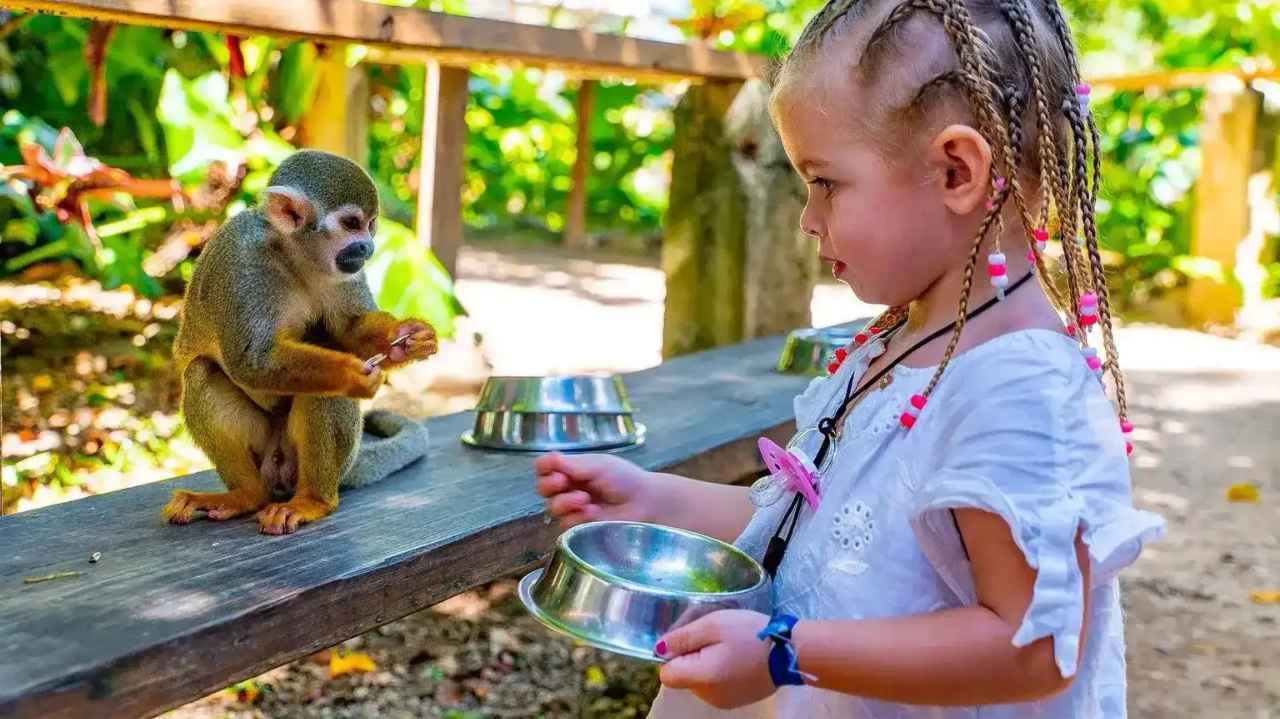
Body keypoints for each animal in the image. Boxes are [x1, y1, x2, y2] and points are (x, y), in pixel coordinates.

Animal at [162, 149, 438, 535]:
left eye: (371, 224)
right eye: (352, 223)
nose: (368, 247)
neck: (292, 255)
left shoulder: (345, 270)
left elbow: (350, 329)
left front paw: (406, 339)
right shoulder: (244, 267)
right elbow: (251, 360)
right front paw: (350, 373)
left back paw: (312, 500)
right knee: (203, 371)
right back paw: (248, 495)